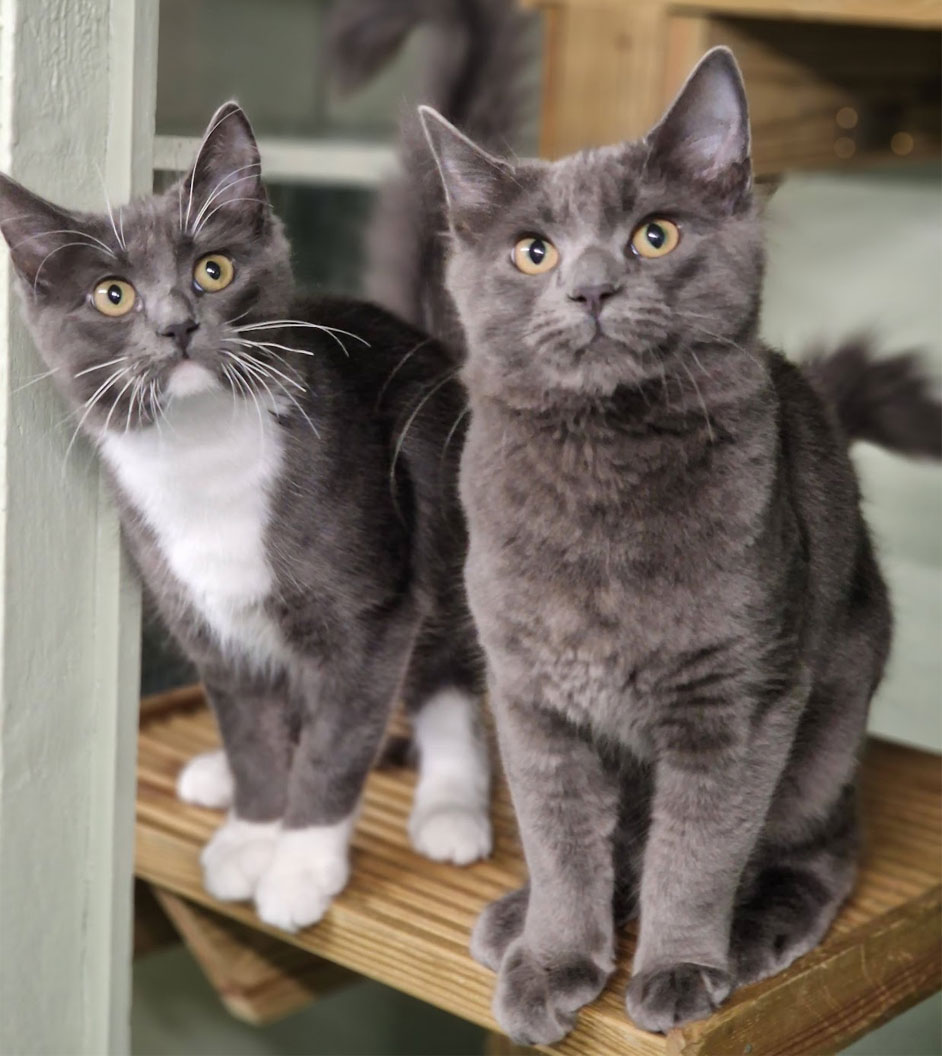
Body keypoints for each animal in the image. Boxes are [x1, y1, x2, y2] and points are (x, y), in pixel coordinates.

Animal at [1, 105, 492, 933]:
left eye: (214, 271)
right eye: (112, 295)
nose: (176, 326)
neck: (203, 459)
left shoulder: (369, 615)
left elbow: (335, 745)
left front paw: (299, 867)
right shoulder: (206, 620)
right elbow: (252, 733)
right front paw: (253, 833)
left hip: (442, 527)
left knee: (445, 678)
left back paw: (451, 806)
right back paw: (219, 776)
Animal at [411, 47, 941, 1039]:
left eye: (654, 236)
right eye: (533, 251)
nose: (590, 287)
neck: (601, 474)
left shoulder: (735, 699)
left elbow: (695, 852)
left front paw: (680, 967)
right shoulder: (532, 699)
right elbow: (561, 844)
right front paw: (553, 958)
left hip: (828, 725)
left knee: (822, 843)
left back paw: (762, 922)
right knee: (615, 847)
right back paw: (517, 920)